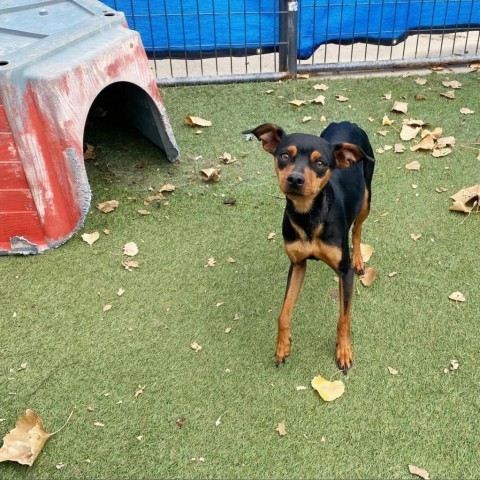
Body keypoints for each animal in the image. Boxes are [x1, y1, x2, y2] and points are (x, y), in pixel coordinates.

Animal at [244, 120, 376, 372]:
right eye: (285, 155)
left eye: (320, 163)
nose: (295, 179)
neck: (309, 216)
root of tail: (347, 122)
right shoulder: (297, 264)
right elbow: (283, 313)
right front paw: (282, 346)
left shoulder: (344, 273)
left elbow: (344, 318)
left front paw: (343, 351)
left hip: (366, 197)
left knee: (357, 229)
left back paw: (358, 259)